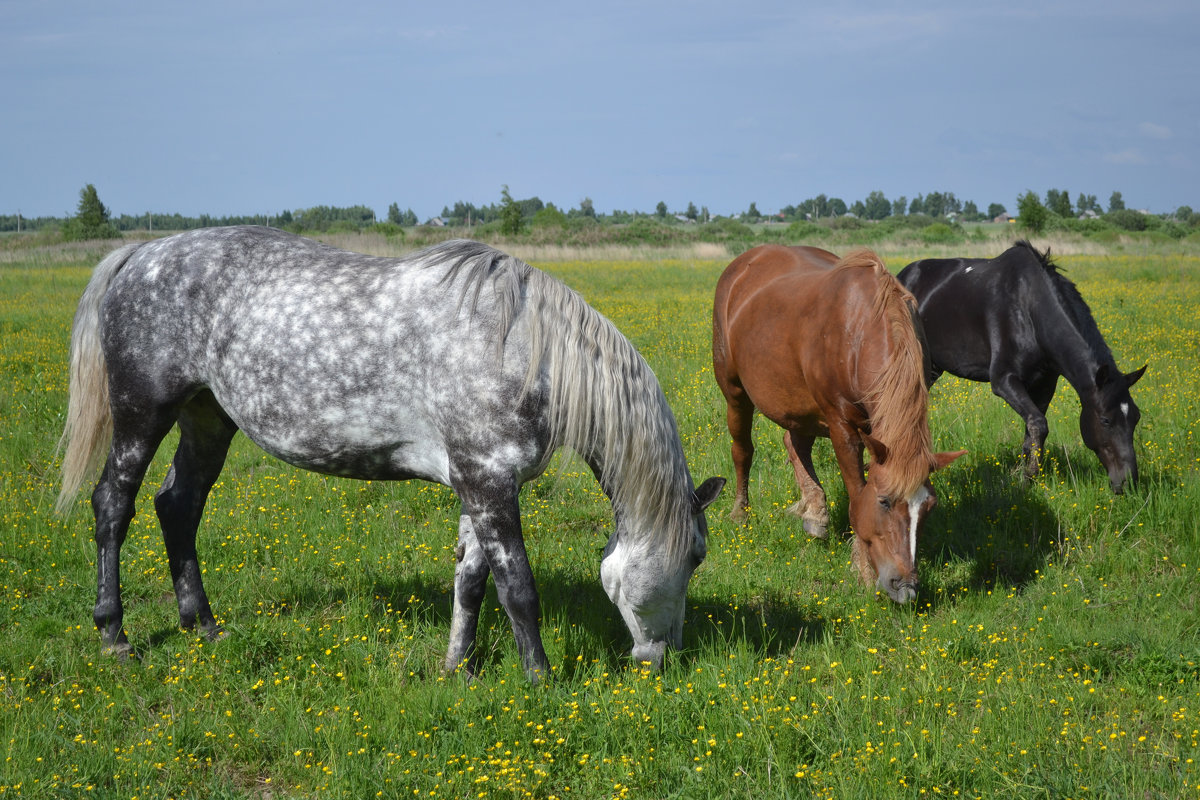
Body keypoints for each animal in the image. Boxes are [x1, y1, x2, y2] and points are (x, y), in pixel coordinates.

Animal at [58, 226, 720, 681]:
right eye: (695, 556)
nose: (660, 659)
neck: (523, 347)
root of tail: (140, 254)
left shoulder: (479, 484)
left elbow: (471, 581)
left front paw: (458, 668)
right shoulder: (489, 485)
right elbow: (518, 588)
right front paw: (541, 679)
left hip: (207, 418)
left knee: (179, 507)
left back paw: (204, 626)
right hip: (142, 415)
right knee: (113, 505)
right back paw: (115, 635)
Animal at [710, 247, 964, 604]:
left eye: (929, 506)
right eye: (884, 501)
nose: (905, 587)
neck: (859, 332)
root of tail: (743, 263)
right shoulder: (842, 426)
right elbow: (857, 494)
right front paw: (863, 571)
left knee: (795, 445)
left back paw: (813, 511)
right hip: (734, 390)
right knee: (742, 450)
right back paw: (741, 513)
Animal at [902, 239, 1142, 494]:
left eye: (1136, 417)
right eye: (1105, 420)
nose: (1128, 483)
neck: (1029, 309)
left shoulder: (1045, 384)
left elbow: (1032, 433)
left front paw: (1026, 478)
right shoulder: (1004, 380)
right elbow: (1038, 424)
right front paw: (1028, 479)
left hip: (933, 367)